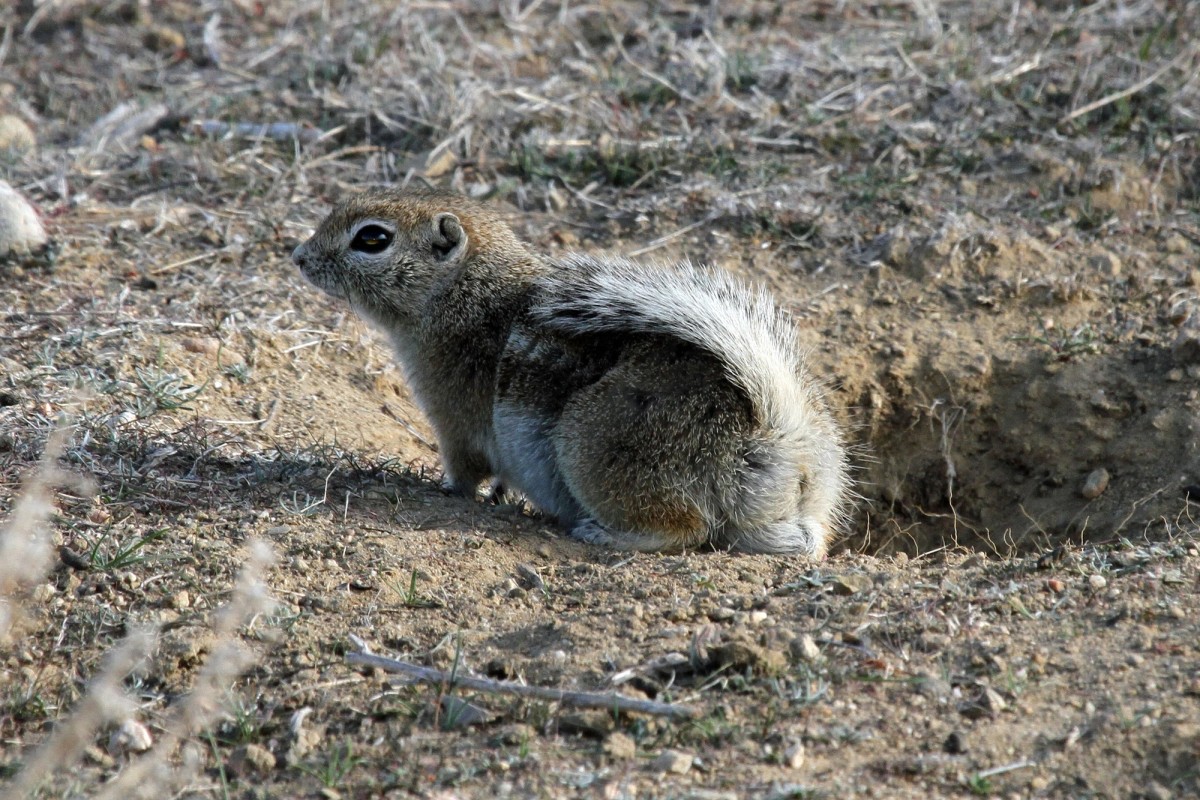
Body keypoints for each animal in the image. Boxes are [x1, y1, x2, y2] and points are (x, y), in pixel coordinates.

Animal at [292, 187, 850, 556]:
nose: (297, 256)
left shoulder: (453, 420)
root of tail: (776, 435)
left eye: (372, 238)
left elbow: (465, 470)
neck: (465, 293)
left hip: (591, 445)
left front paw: (447, 492)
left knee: (684, 529)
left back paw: (602, 532)